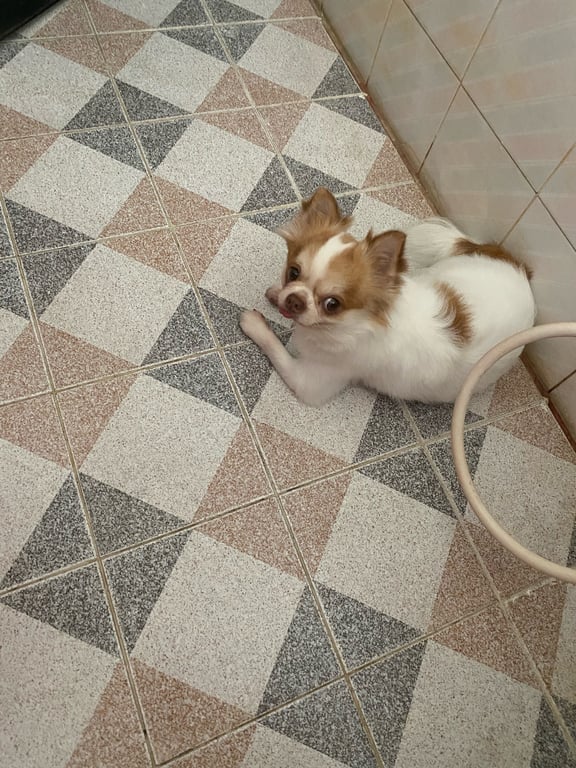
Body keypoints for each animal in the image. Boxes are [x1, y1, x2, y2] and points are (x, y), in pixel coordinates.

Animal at [240, 188, 536, 407]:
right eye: (293, 272)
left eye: (332, 304)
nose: (294, 300)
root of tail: (518, 267)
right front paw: (276, 293)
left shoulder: (313, 380)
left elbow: (276, 349)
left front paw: (255, 325)